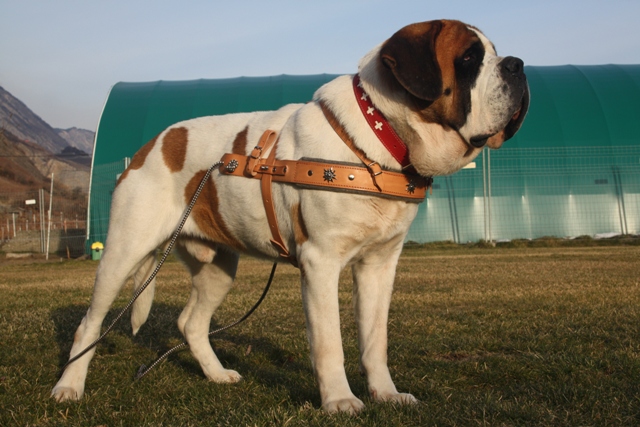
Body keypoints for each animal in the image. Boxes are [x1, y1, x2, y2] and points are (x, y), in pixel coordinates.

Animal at [52, 20, 528, 414]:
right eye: (468, 59)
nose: (518, 65)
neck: (380, 140)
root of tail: (149, 146)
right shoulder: (321, 263)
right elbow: (329, 342)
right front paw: (339, 401)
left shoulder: (379, 266)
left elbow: (375, 340)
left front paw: (386, 394)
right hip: (123, 252)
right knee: (90, 324)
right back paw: (68, 386)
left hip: (218, 267)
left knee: (190, 323)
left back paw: (217, 374)